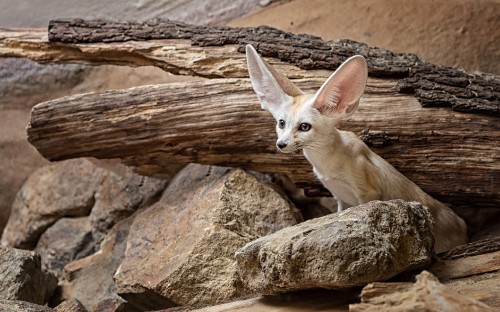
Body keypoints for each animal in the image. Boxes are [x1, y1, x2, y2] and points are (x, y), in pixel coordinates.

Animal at [246, 44, 468, 254]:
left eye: (304, 127)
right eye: (281, 123)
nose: (281, 144)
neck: (328, 163)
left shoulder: (367, 192)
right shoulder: (341, 199)